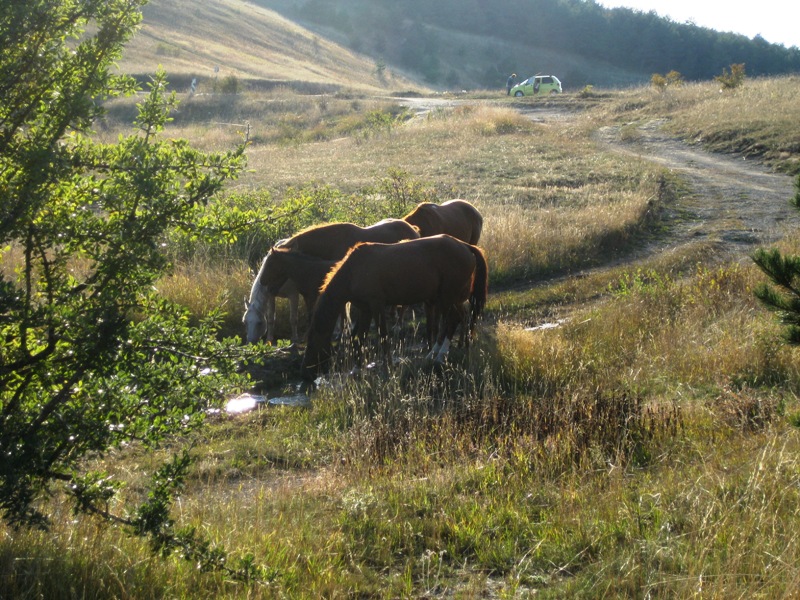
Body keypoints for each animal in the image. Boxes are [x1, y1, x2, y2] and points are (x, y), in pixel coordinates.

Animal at [301, 235, 489, 380]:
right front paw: (356, 368)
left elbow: (383, 335)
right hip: (447, 299)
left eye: (311, 344)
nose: (305, 374)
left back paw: (440, 356)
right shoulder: (365, 309)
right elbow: (360, 337)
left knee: (452, 320)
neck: (353, 271)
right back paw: (440, 352)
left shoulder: (376, 305)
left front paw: (388, 365)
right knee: (456, 319)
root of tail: (466, 246)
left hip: (447, 297)